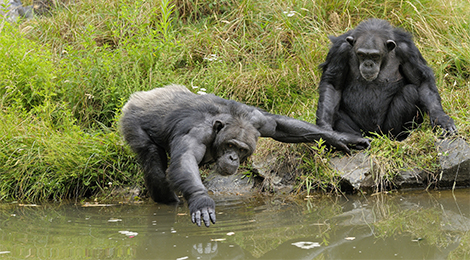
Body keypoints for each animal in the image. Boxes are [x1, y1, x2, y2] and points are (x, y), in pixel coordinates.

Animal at [119, 84, 370, 226]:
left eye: (241, 149)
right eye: (230, 145)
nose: (232, 158)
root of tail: (141, 95)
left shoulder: (259, 121)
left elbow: (280, 126)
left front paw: (340, 138)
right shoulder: (195, 135)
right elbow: (185, 160)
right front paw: (201, 200)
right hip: (132, 119)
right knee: (152, 158)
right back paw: (169, 202)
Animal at [316, 18, 456, 140]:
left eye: (375, 56)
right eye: (361, 54)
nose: (368, 64)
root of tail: (374, 135)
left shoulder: (408, 51)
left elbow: (421, 82)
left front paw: (441, 119)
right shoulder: (340, 50)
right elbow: (333, 85)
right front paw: (326, 131)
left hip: (386, 130)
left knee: (410, 92)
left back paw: (398, 137)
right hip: (362, 131)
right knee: (335, 111)